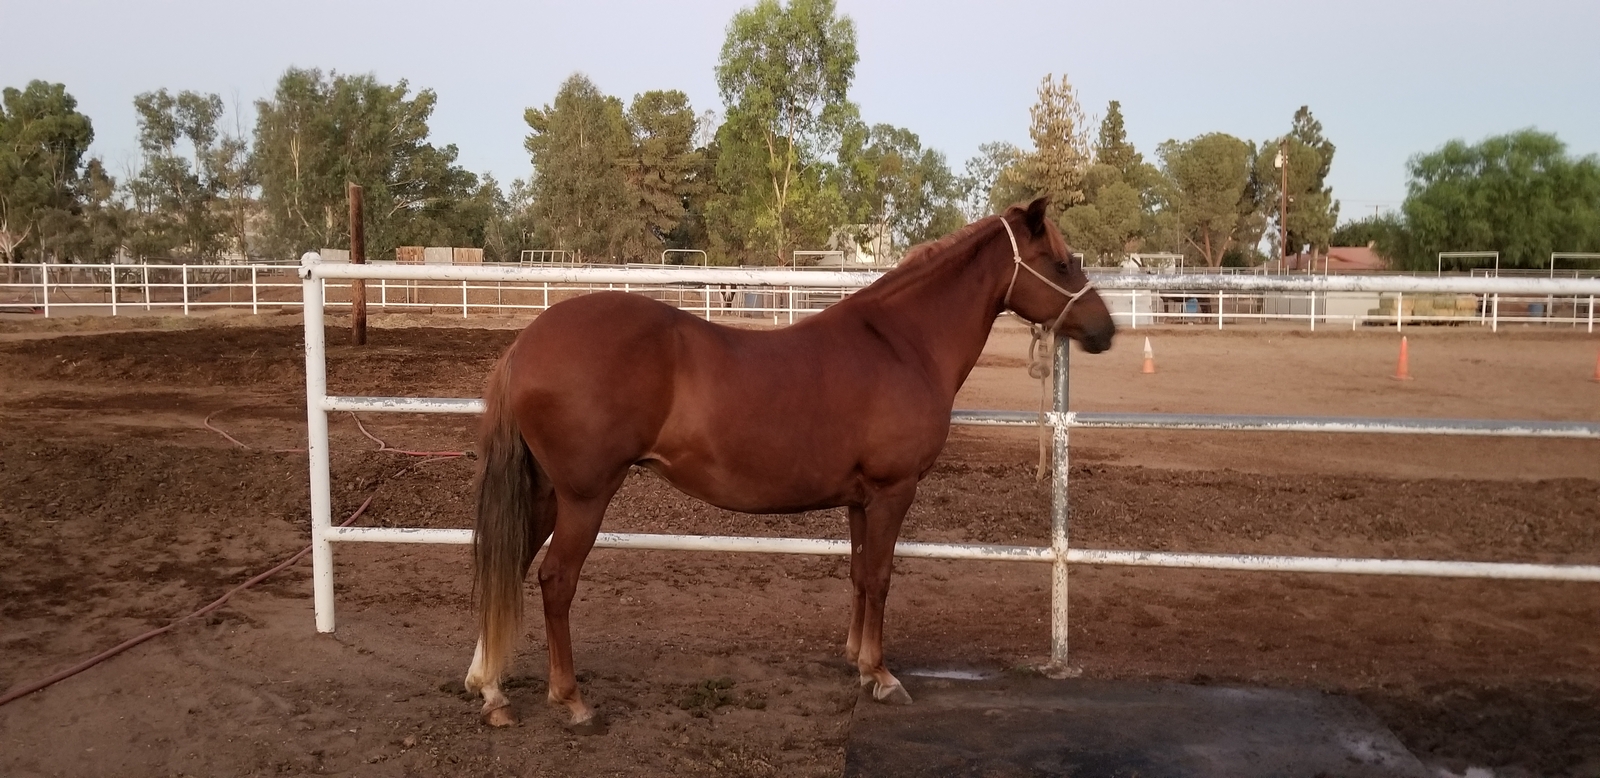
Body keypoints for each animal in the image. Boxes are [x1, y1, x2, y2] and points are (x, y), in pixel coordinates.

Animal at [463, 197, 1116, 732]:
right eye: (1062, 263)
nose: (1105, 330)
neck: (901, 343)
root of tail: (525, 344)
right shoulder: (892, 491)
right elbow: (881, 577)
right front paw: (883, 676)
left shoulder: (861, 499)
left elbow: (859, 575)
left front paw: (858, 662)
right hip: (585, 495)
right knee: (554, 580)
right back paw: (571, 700)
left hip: (545, 491)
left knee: (511, 564)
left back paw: (492, 691)